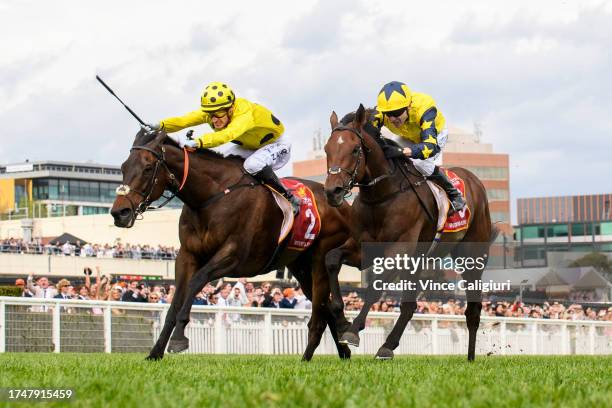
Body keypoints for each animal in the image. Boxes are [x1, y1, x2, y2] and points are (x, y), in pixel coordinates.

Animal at [109, 128, 350, 360]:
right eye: (123, 167)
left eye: (148, 168)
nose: (119, 212)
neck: (212, 196)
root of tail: (342, 203)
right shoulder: (187, 255)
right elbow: (176, 300)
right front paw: (155, 352)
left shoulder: (234, 257)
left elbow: (196, 281)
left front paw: (178, 338)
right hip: (300, 266)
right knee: (324, 304)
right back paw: (344, 351)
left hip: (319, 259)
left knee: (321, 306)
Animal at [322, 105, 500, 360]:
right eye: (327, 149)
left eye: (355, 149)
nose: (332, 191)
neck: (381, 197)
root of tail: (475, 181)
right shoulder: (362, 249)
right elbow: (332, 259)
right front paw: (341, 318)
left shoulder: (397, 252)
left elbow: (374, 289)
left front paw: (352, 331)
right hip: (418, 262)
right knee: (409, 306)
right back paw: (387, 346)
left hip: (472, 258)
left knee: (473, 309)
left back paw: (470, 357)